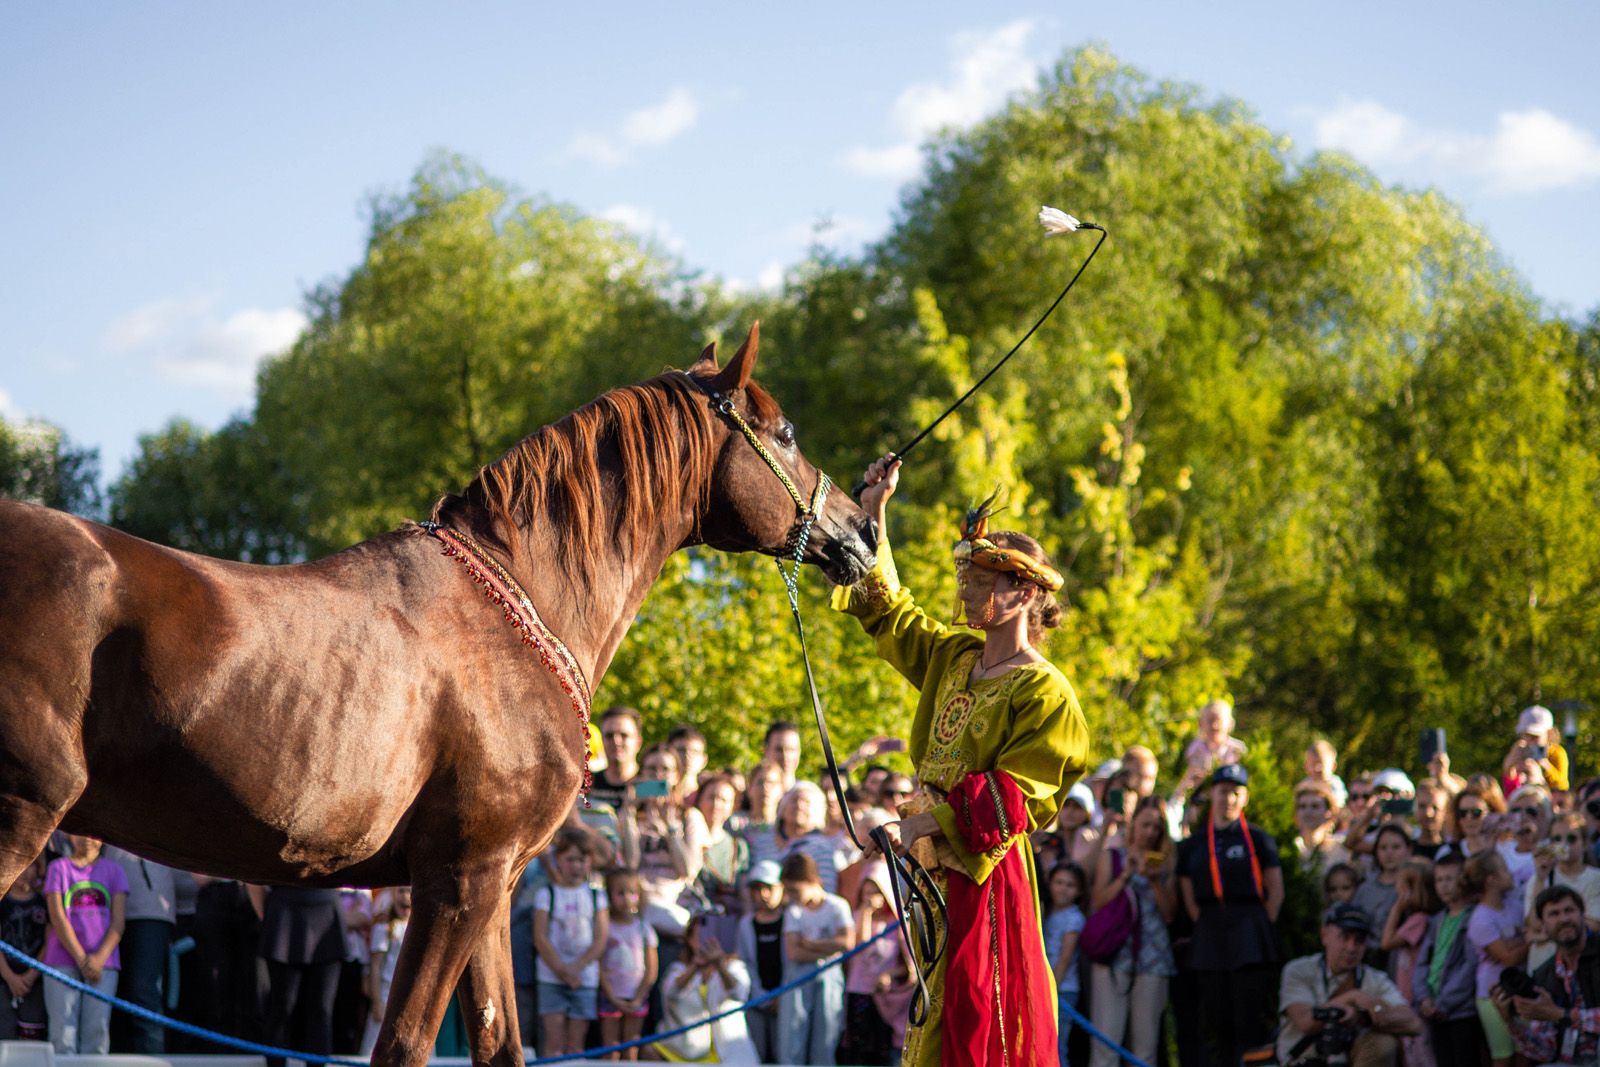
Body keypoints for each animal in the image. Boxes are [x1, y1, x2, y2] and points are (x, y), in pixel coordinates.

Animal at [0, 323, 877, 1067]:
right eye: (785, 433)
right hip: (24, 811)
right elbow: (406, 1043)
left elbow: (498, 1042)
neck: (518, 605)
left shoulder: (494, 884)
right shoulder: (461, 876)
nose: (861, 530)